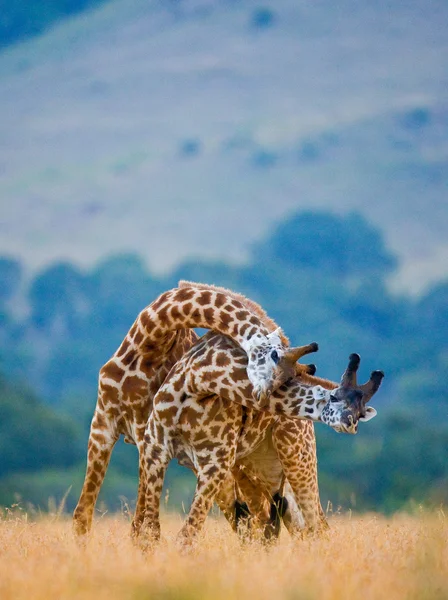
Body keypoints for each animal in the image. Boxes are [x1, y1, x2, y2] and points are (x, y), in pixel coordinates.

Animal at [74, 284, 312, 536]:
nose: (262, 404)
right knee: (264, 519)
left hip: (291, 455)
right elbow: (82, 516)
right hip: (253, 467)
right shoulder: (103, 423)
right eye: (274, 362)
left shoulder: (143, 431)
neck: (148, 342)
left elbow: (139, 523)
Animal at [135, 332, 384, 548]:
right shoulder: (154, 446)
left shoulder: (215, 462)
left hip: (296, 457)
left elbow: (187, 532)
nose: (351, 422)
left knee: (313, 525)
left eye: (361, 412)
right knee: (280, 525)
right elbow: (151, 529)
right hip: (261, 471)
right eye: (333, 396)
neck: (198, 382)